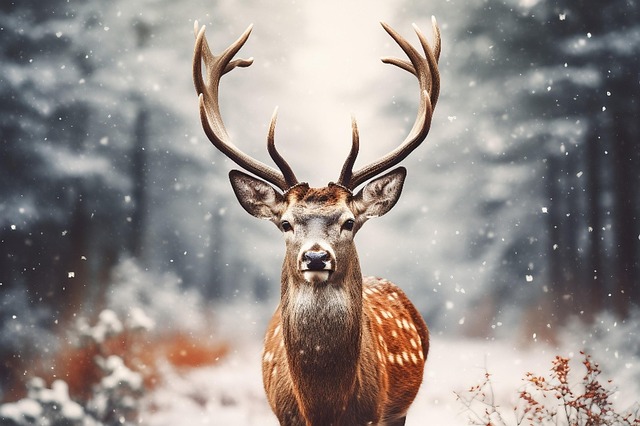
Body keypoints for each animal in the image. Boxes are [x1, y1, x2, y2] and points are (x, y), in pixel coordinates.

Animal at [192, 16, 441, 426]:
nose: (315, 257)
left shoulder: (374, 414)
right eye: (286, 223)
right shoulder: (283, 415)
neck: (324, 405)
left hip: (400, 411)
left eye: (349, 222)